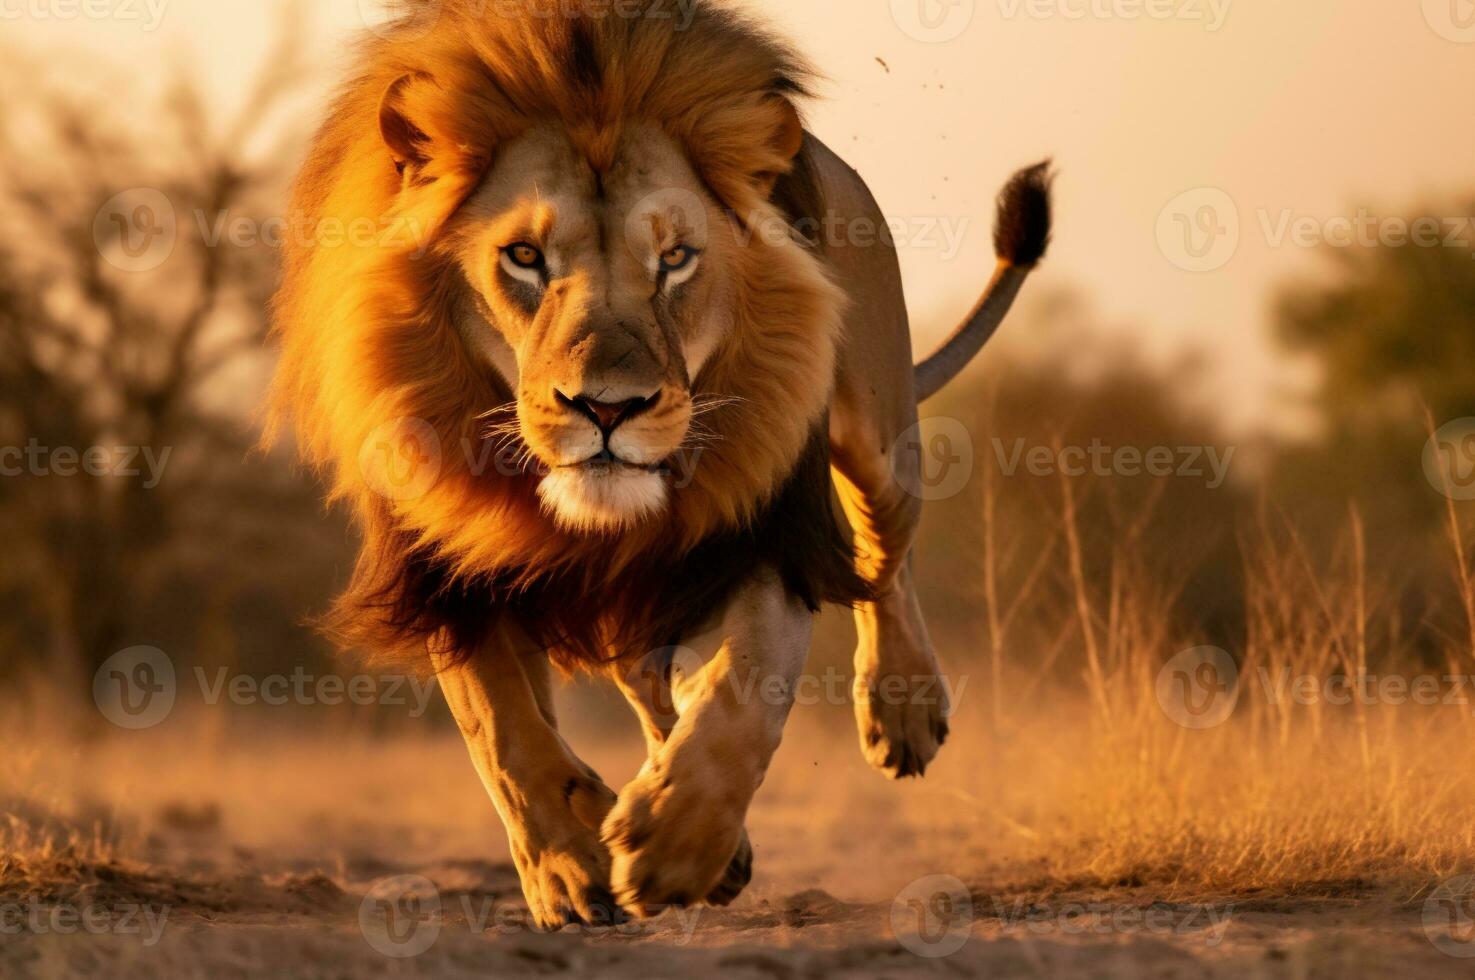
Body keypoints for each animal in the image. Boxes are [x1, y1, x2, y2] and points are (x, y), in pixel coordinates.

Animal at [265, 0, 1050, 932]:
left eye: (675, 259)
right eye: (524, 258)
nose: (608, 409)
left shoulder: (766, 533)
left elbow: (745, 690)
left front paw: (676, 844)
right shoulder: (442, 565)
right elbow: (503, 732)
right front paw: (569, 868)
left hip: (877, 436)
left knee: (882, 557)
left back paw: (901, 710)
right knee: (642, 675)